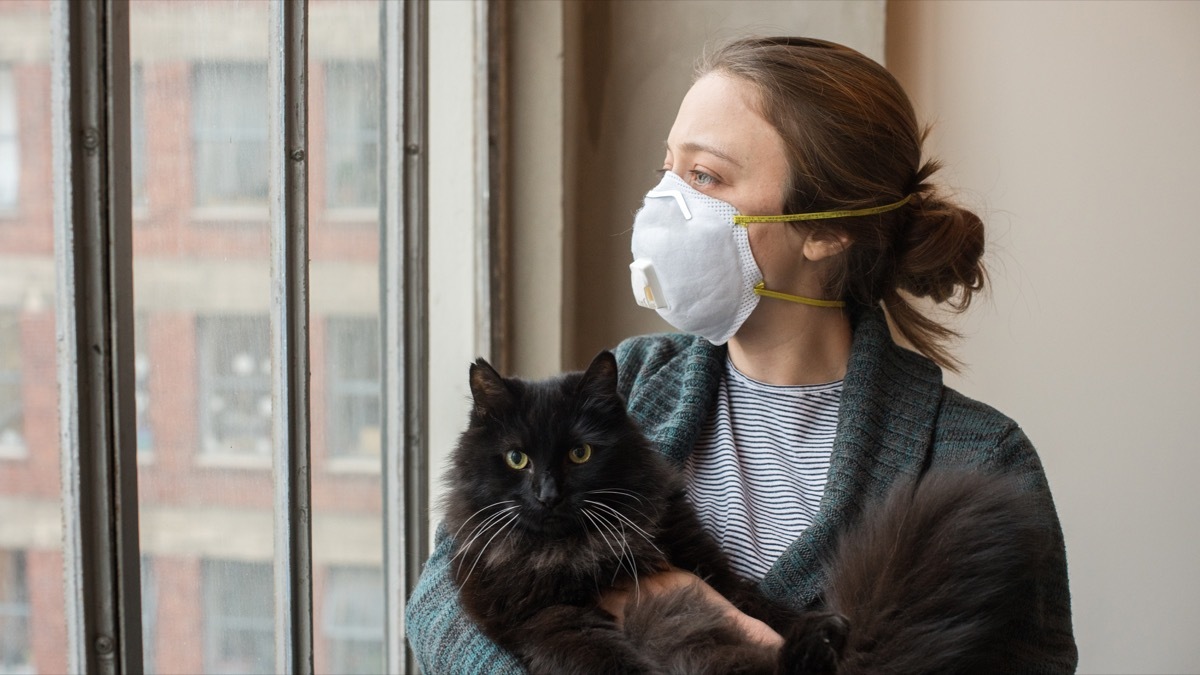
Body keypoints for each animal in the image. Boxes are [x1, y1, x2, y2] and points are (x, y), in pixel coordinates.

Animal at [444, 348, 1051, 667]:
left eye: (579, 453)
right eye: (517, 458)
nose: (548, 494)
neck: (583, 552)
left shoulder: (694, 552)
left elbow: (756, 602)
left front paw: (813, 621)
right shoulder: (546, 619)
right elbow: (607, 662)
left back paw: (821, 638)